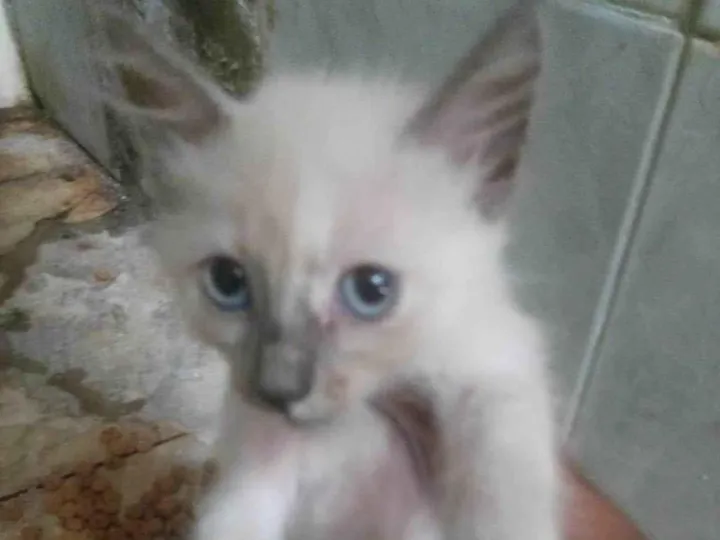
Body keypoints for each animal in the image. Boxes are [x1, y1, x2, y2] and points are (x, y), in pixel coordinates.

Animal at [97, 1, 559, 539]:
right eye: (228, 282)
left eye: (371, 290)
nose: (278, 388)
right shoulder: (262, 441)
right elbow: (235, 514)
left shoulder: (495, 363)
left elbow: (503, 485)